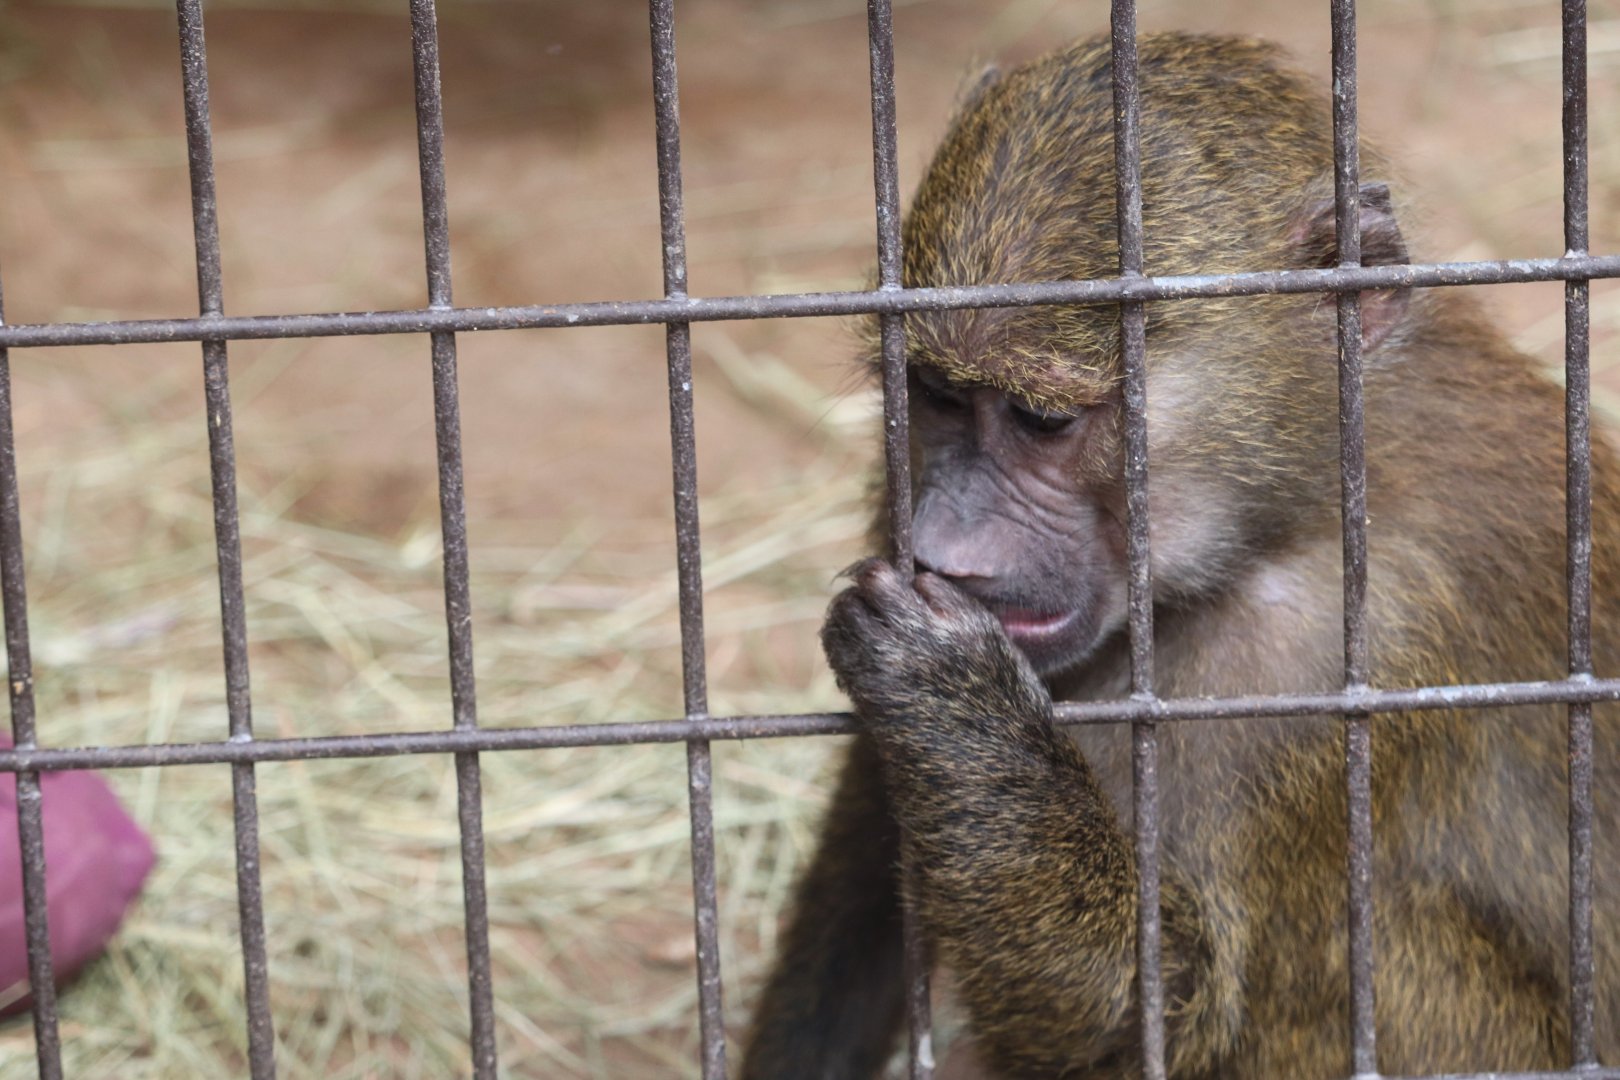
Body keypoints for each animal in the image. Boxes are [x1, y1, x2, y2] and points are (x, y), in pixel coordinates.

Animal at [740, 32, 1619, 1080]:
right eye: (940, 398)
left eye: (1042, 421)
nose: (942, 550)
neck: (1299, 502)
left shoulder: (1334, 648)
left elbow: (1160, 1002)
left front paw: (948, 700)